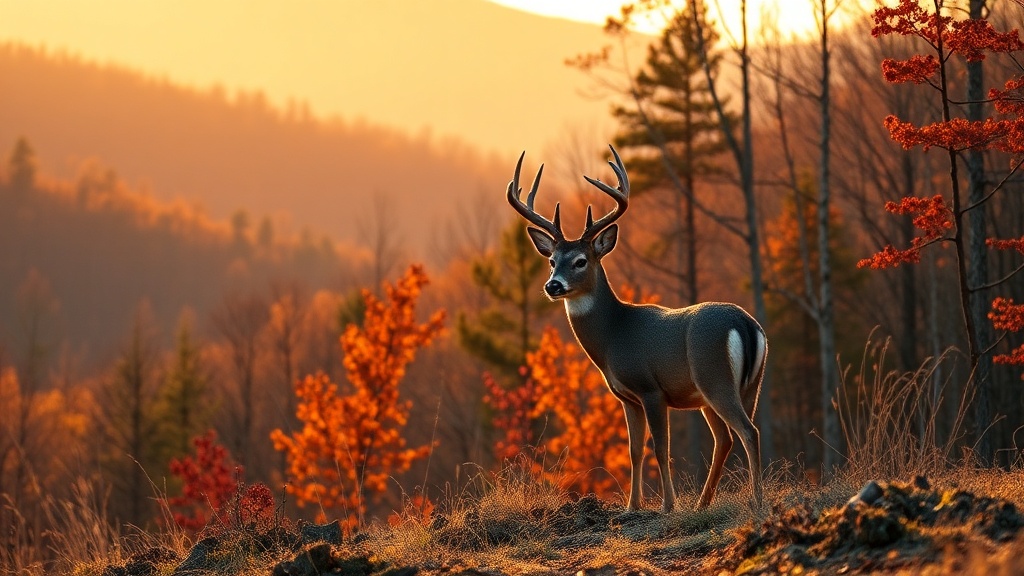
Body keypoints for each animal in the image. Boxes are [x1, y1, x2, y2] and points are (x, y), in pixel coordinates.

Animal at [506, 145, 766, 513]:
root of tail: (744, 323)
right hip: (743, 386)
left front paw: (667, 506)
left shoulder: (650, 388)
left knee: (747, 431)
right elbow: (633, 450)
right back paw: (703, 504)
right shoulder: (627, 398)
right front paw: (633, 506)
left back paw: (756, 501)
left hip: (715, 378)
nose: (553, 285)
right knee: (727, 437)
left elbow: (660, 448)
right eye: (552, 261)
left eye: (581, 261)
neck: (614, 336)